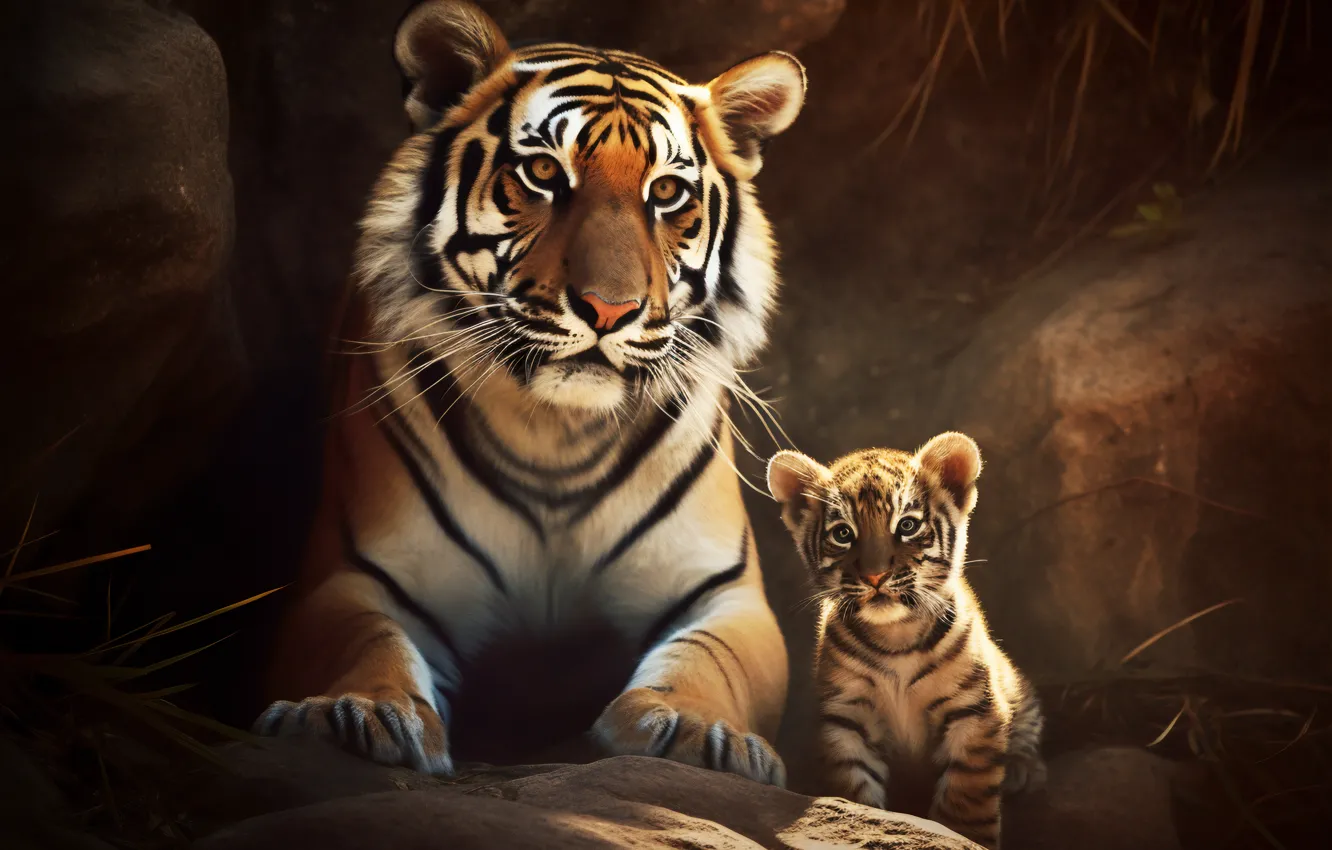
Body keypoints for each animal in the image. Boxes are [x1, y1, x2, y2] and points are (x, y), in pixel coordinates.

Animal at [251, 0, 805, 787]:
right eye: (544, 172)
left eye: (667, 192)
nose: (609, 309)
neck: (558, 434)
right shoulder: (357, 575)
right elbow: (366, 642)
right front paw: (350, 713)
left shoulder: (724, 591)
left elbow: (710, 660)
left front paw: (695, 729)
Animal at [766, 432, 1045, 849]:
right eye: (843, 533)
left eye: (908, 526)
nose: (875, 576)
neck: (895, 636)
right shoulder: (847, 717)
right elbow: (854, 792)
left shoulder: (974, 711)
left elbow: (967, 796)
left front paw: (964, 834)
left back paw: (1023, 770)